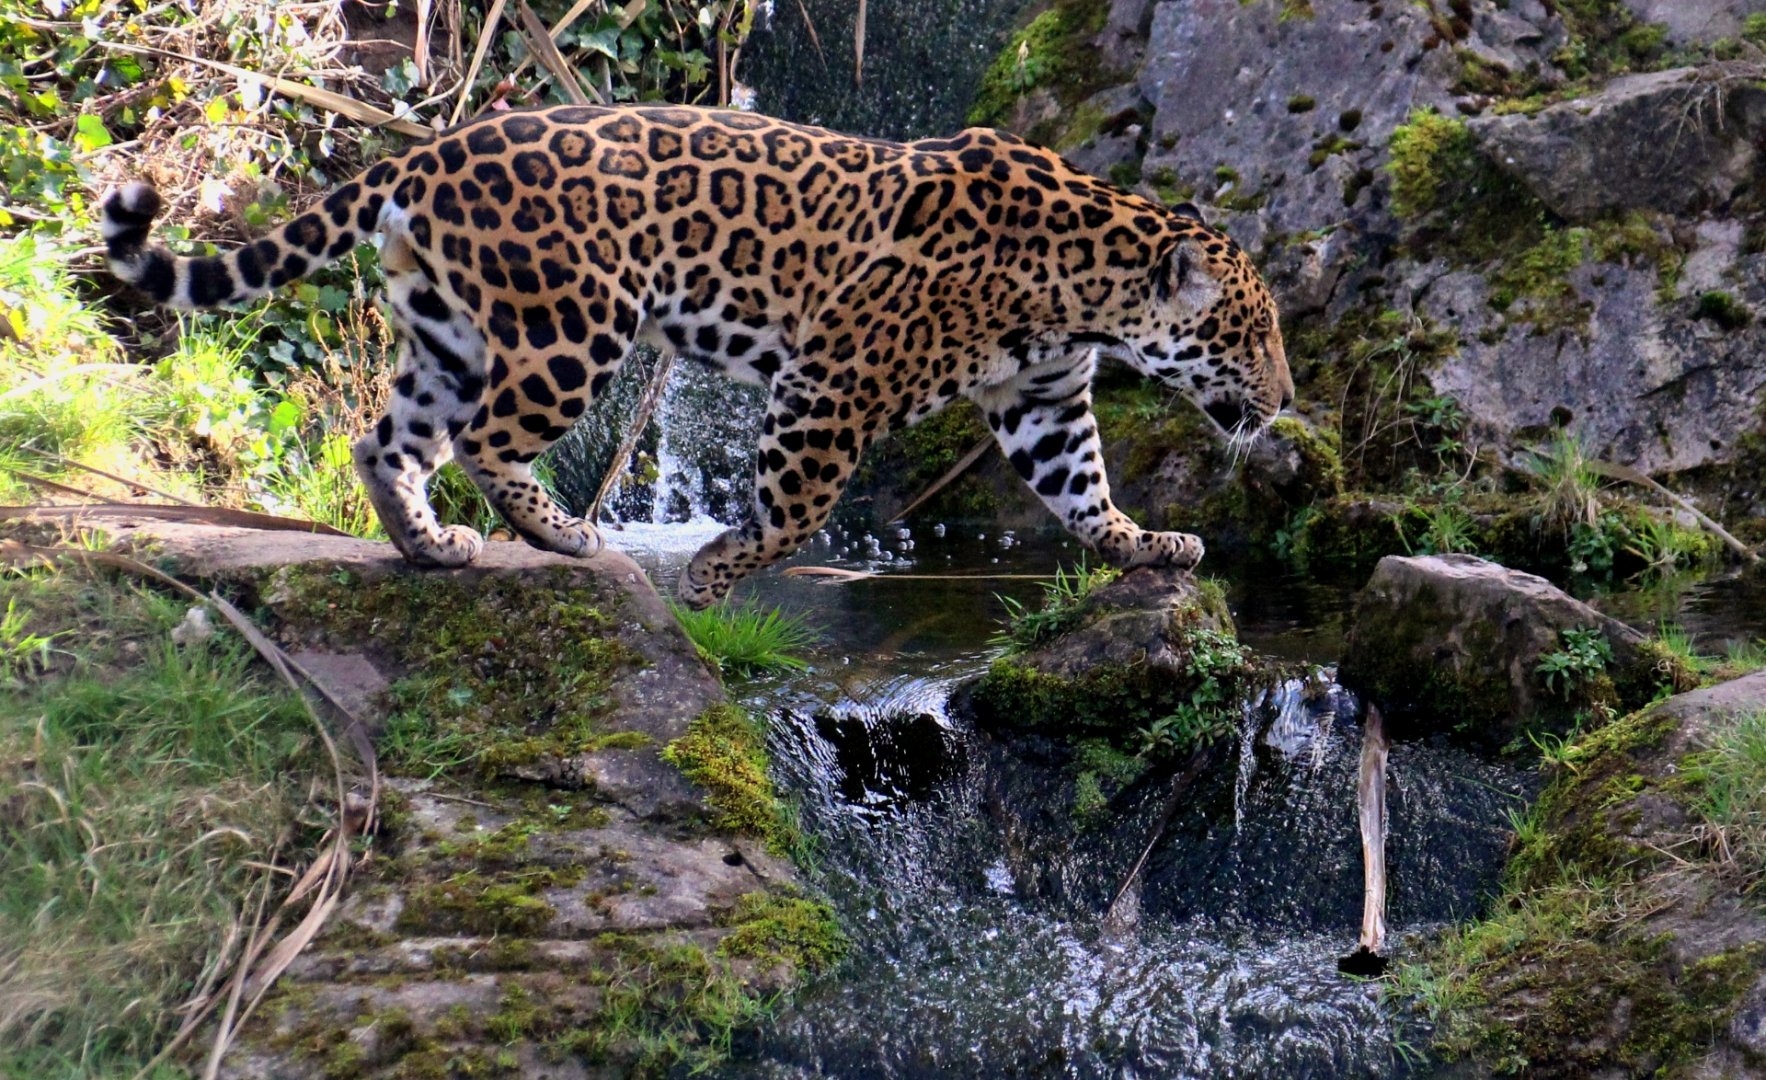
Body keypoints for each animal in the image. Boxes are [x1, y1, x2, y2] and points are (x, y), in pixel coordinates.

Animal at [102, 104, 1293, 609]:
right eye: (1250, 334)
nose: (1285, 397)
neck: (1087, 287)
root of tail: (432, 149)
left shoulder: (1044, 400)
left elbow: (1083, 489)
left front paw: (1150, 547)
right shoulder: (833, 380)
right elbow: (792, 514)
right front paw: (714, 578)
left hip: (448, 328)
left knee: (384, 439)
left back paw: (432, 547)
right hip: (570, 326)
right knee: (489, 438)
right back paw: (569, 537)